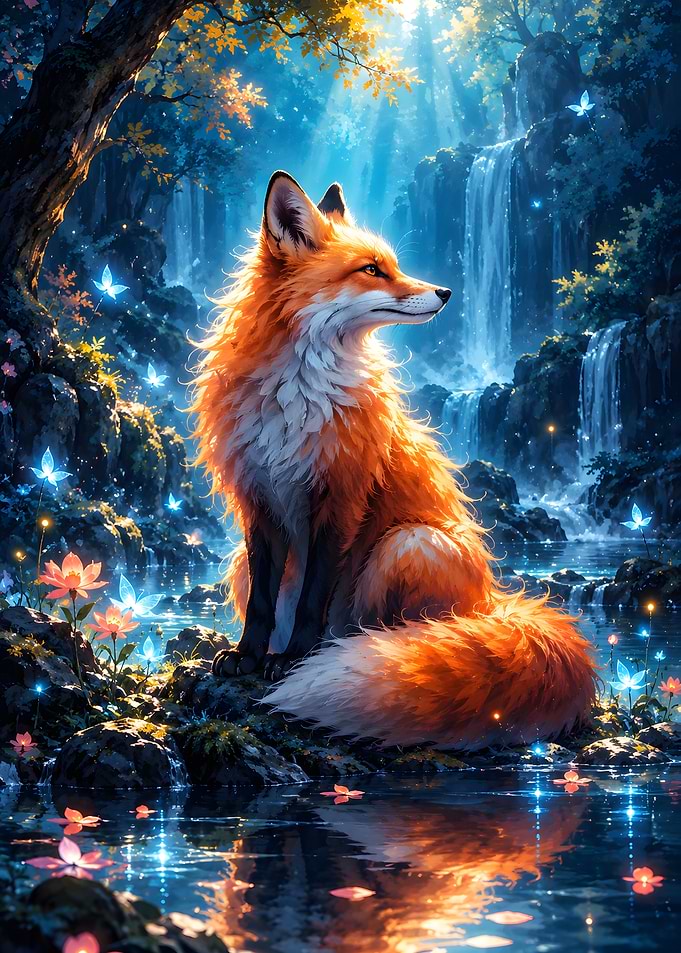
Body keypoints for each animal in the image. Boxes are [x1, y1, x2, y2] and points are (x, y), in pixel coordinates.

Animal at [191, 170, 597, 750]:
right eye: (372, 270)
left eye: (393, 265)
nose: (446, 292)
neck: (297, 395)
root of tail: (493, 600)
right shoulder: (259, 498)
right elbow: (263, 604)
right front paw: (248, 657)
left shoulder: (341, 494)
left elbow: (314, 596)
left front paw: (293, 661)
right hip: (247, 562)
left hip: (405, 546)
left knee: (403, 635)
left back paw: (364, 660)